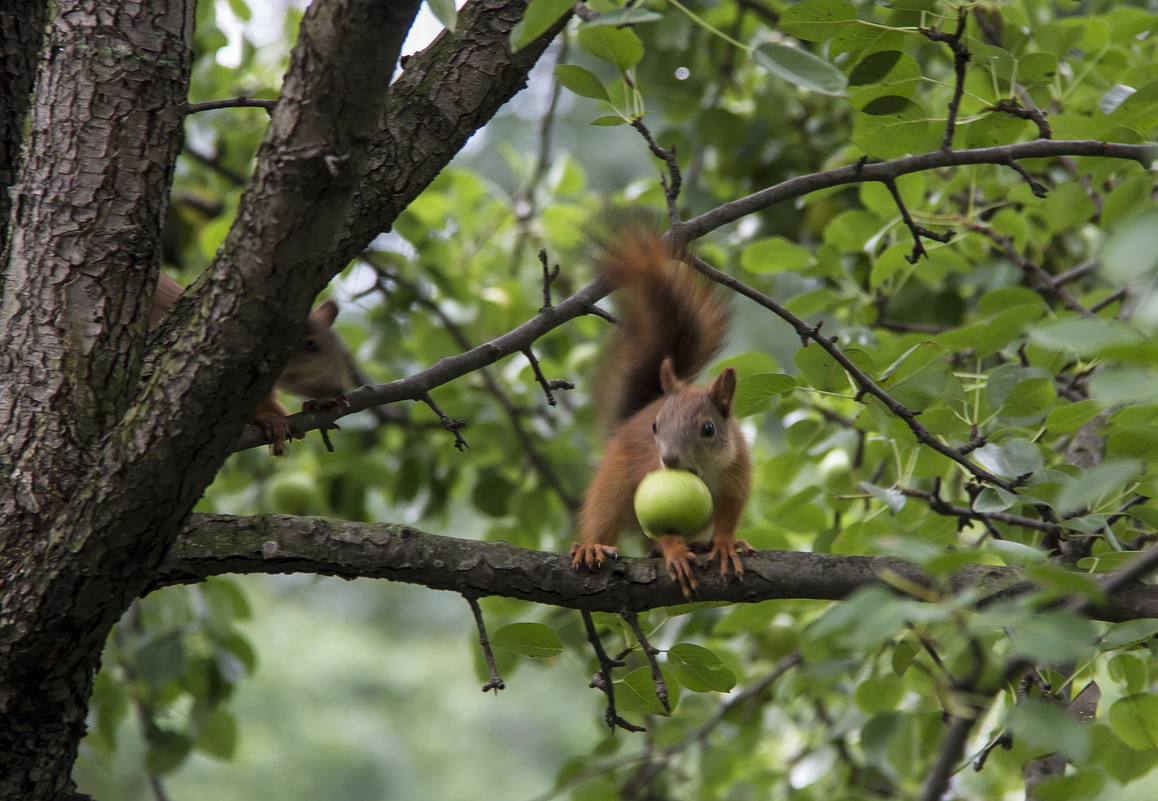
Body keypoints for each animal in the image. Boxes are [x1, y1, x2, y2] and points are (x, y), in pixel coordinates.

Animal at [567, 222, 750, 597]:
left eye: (708, 429)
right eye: (655, 426)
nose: (669, 459)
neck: (704, 471)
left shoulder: (737, 476)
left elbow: (729, 515)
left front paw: (725, 543)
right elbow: (662, 530)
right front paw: (675, 553)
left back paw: (702, 544)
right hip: (613, 485)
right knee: (604, 517)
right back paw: (592, 546)